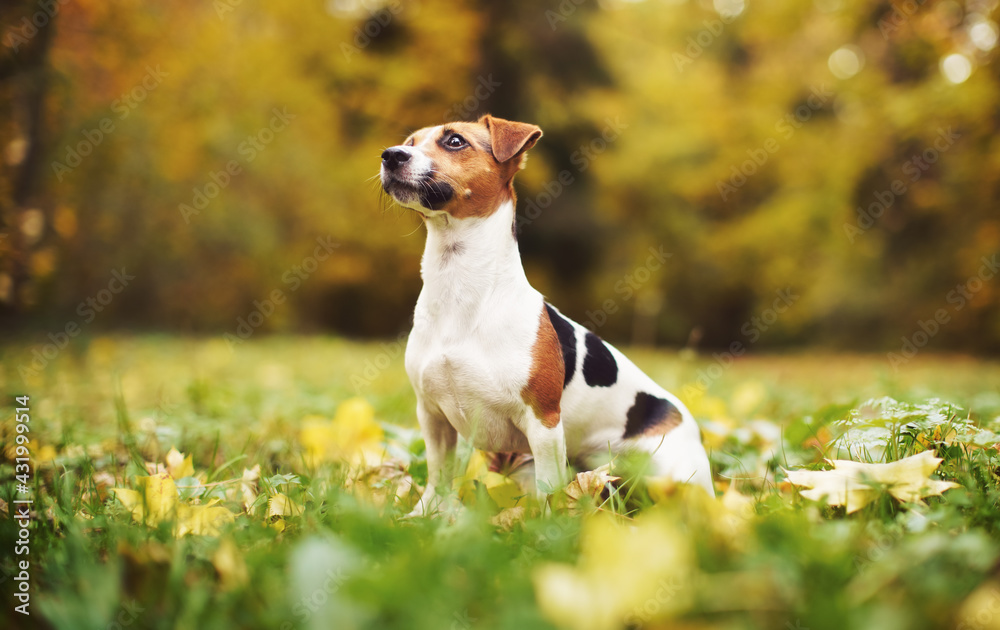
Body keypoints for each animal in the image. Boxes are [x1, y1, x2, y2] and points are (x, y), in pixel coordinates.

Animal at [376, 115, 712, 520]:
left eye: (454, 141)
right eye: (409, 142)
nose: (391, 155)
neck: (459, 287)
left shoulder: (543, 422)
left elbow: (550, 489)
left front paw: (543, 526)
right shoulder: (432, 415)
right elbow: (439, 475)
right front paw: (425, 516)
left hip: (670, 475)